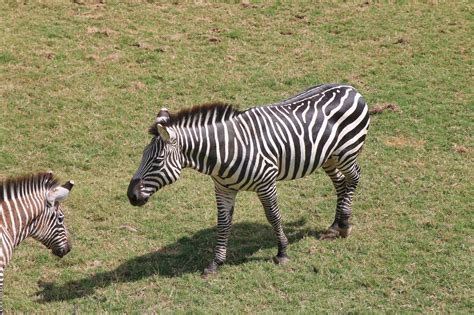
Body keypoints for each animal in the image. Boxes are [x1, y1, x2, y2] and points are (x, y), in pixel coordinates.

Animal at [127, 84, 370, 276]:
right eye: (143, 155)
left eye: (157, 160)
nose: (131, 196)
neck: (225, 150)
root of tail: (351, 89)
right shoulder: (223, 189)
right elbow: (223, 224)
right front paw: (216, 263)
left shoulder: (266, 183)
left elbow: (273, 216)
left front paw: (282, 252)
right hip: (328, 157)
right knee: (340, 183)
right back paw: (335, 225)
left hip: (347, 152)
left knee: (354, 177)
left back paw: (344, 224)